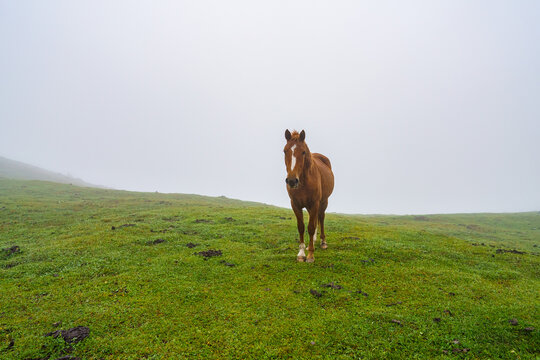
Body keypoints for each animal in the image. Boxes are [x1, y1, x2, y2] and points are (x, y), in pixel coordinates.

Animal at [282, 129, 334, 262]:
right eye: (285, 150)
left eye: (303, 152)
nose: (292, 181)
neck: (304, 182)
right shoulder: (295, 204)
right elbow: (301, 227)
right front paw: (301, 253)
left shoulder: (315, 203)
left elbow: (310, 227)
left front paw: (310, 255)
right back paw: (314, 241)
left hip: (323, 202)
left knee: (321, 218)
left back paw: (323, 242)